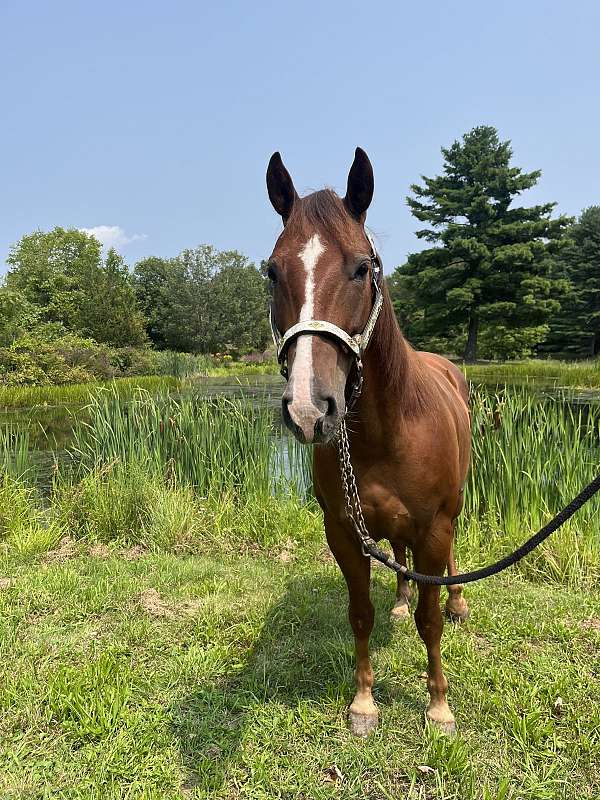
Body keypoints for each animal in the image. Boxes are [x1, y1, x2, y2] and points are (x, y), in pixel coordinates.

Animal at [264, 147, 472, 736]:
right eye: (272, 271)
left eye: (362, 268)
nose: (309, 409)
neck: (387, 430)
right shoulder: (343, 530)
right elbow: (361, 614)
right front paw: (363, 703)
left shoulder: (434, 527)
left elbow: (430, 621)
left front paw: (438, 706)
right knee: (399, 562)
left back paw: (458, 602)